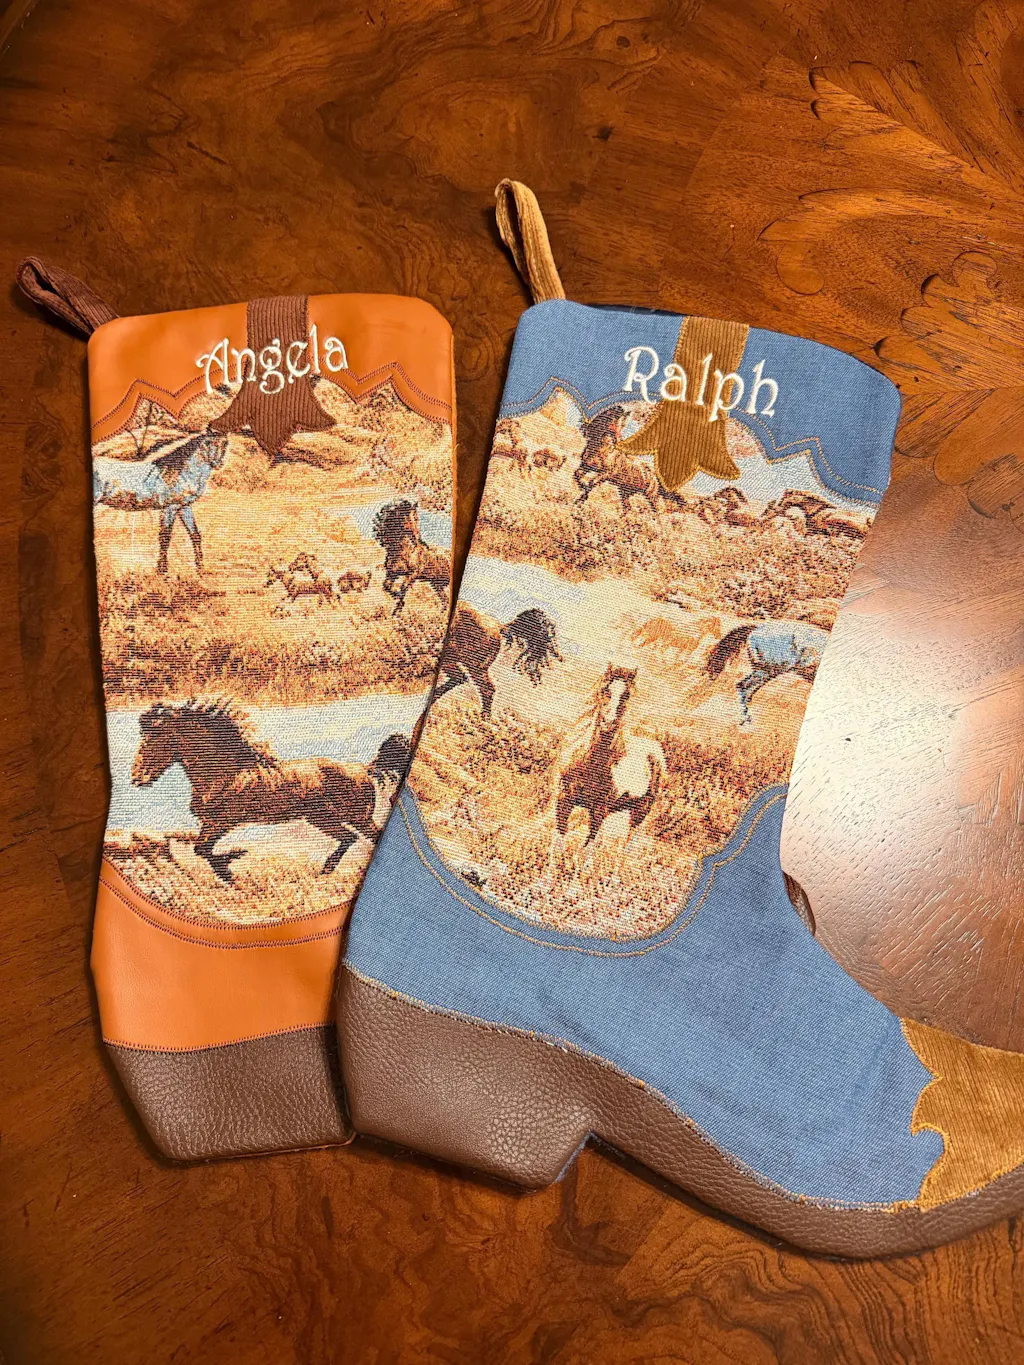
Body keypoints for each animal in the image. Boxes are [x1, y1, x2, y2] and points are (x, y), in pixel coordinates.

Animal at [93, 429, 229, 575]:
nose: (217, 463)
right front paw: (163, 571)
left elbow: (195, 535)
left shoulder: (184, 507)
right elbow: (165, 537)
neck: (178, 471)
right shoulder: (169, 508)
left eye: (225, 443)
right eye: (207, 442)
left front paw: (201, 570)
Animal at [130, 699, 412, 881]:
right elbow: (200, 849)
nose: (137, 778)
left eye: (154, 739)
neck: (226, 772)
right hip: (322, 819)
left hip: (350, 817)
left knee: (366, 836)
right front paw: (229, 870)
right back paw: (325, 870)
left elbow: (203, 850)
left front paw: (232, 863)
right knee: (349, 838)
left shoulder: (223, 823)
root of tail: (365, 769)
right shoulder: (210, 823)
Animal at [555, 664, 664, 843]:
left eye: (626, 695)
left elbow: (587, 847)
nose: (608, 722)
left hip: (639, 812)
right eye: (606, 690)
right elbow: (558, 841)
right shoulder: (564, 801)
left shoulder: (599, 812)